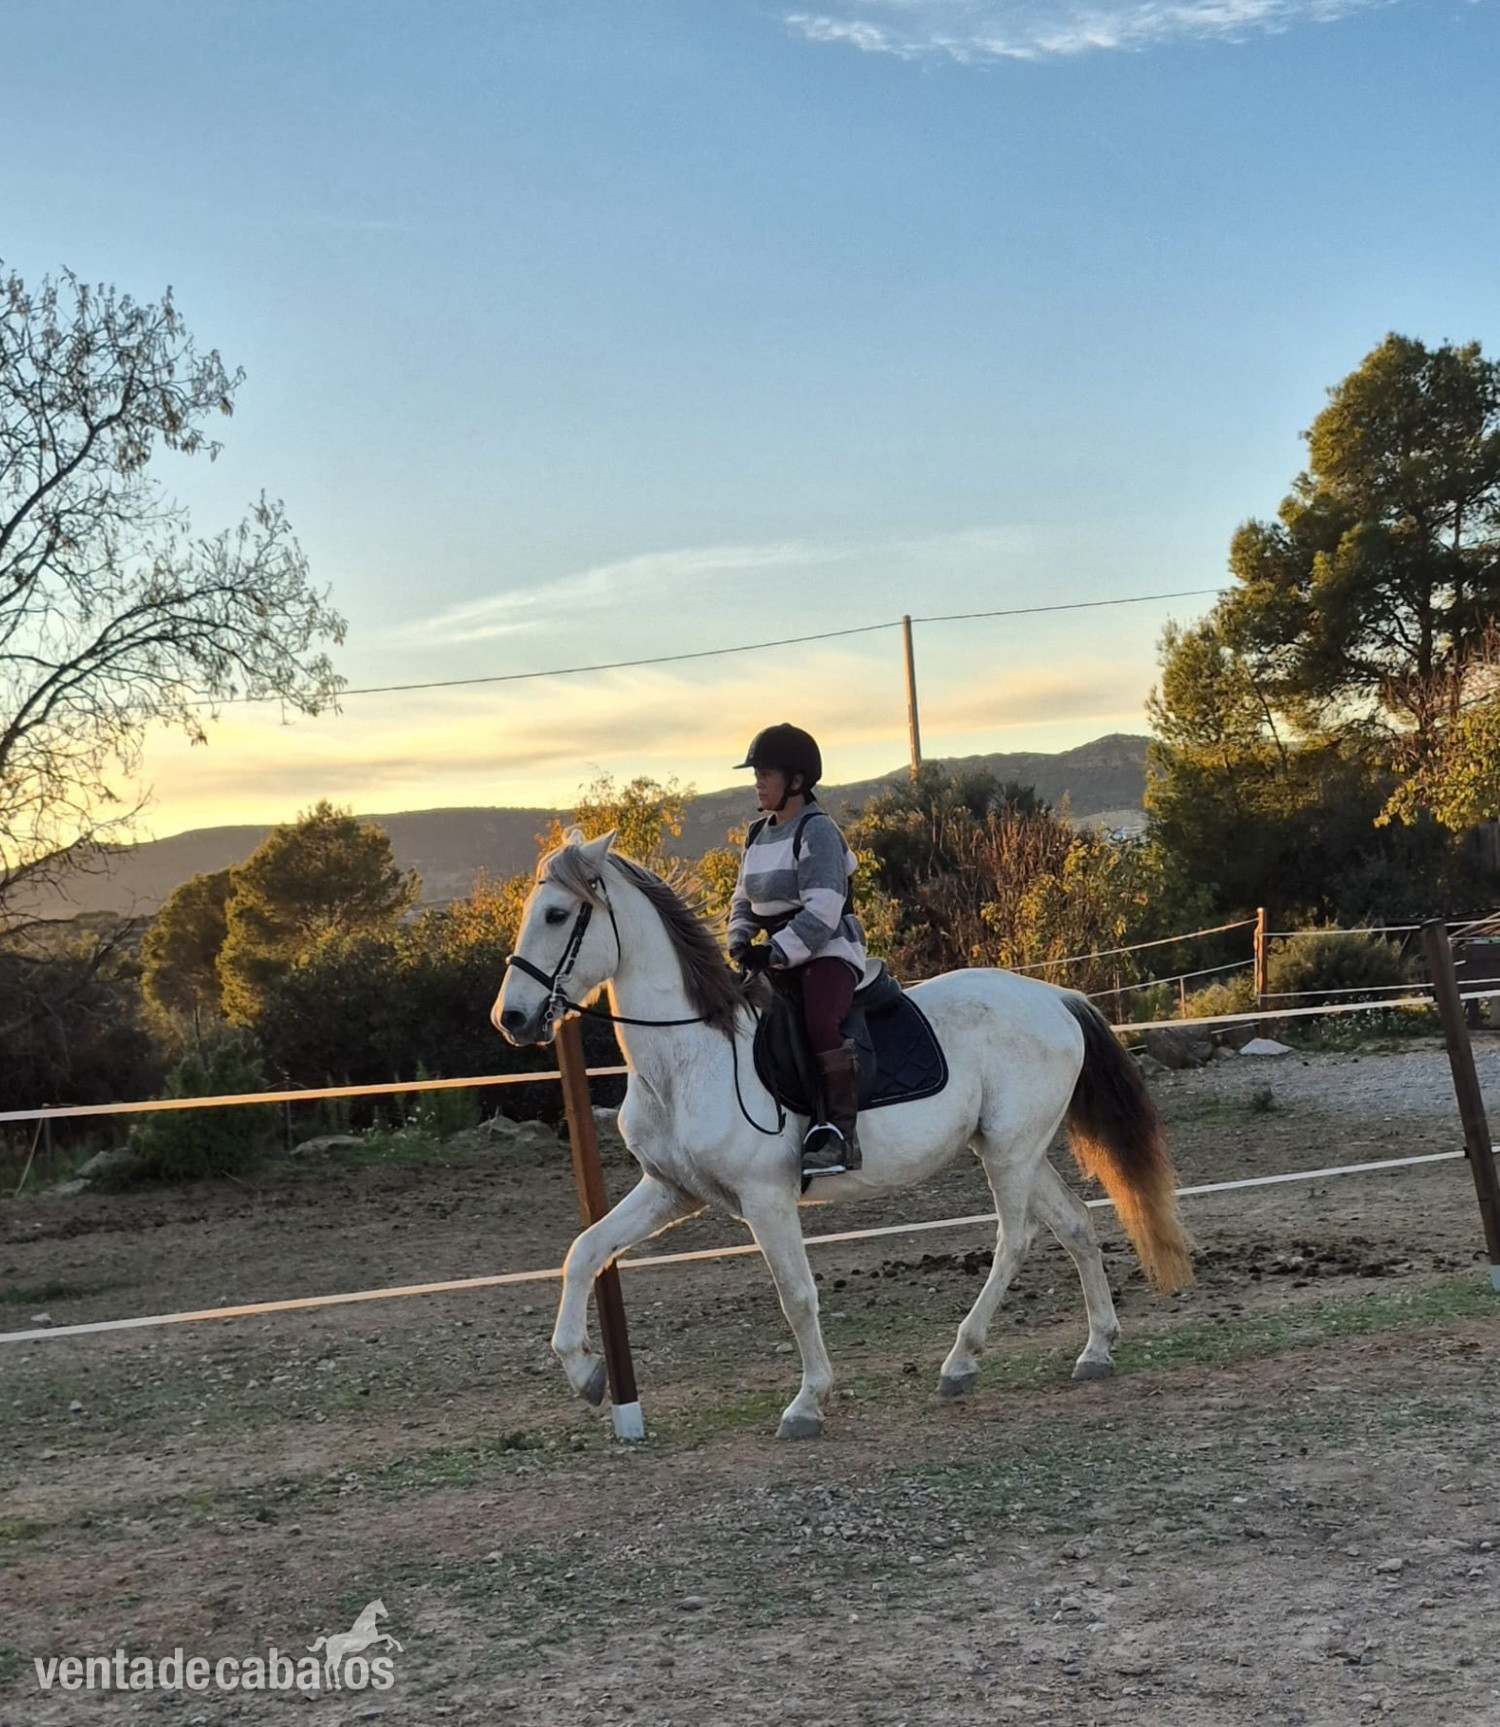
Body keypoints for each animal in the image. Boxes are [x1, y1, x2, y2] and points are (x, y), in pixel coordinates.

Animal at [493, 828, 1191, 1440]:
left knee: (1015, 1240)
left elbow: (796, 1296)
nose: (513, 1019)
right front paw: (585, 1373)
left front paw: (807, 1403)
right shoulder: (671, 1192)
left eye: (556, 914)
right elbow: (584, 1251)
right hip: (1011, 1149)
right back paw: (1095, 1350)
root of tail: (1055, 997)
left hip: (1011, 1155)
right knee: (1075, 1224)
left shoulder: (766, 1199)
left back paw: (960, 1361)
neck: (689, 1056)